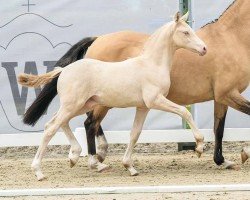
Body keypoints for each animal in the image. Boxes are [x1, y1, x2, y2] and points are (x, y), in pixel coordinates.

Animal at [23, 0, 250, 169]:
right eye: (186, 32)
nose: (204, 49)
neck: (231, 39)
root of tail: (98, 39)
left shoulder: (221, 97)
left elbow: (218, 128)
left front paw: (223, 160)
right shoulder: (227, 93)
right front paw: (239, 153)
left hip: (92, 101)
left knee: (79, 122)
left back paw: (91, 156)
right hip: (98, 102)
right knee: (88, 123)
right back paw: (94, 159)